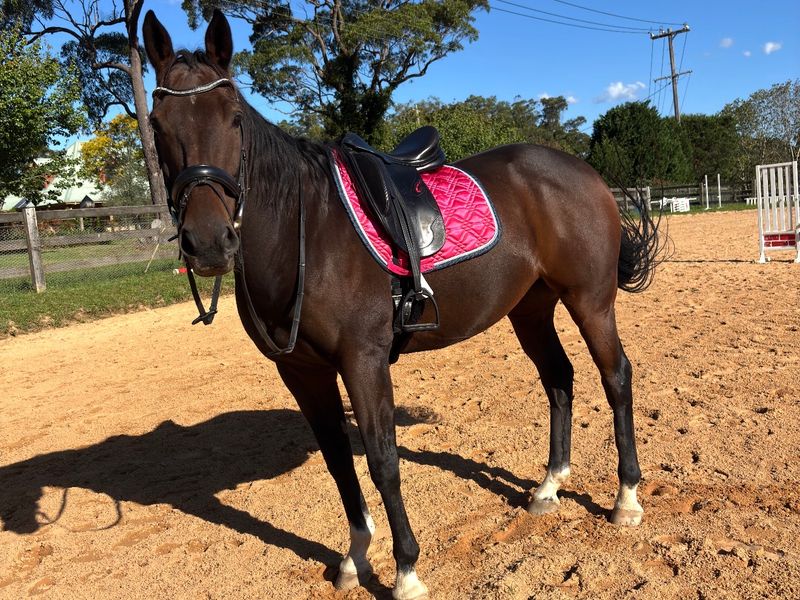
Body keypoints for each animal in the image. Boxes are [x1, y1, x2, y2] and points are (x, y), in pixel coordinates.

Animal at [143, 10, 661, 599]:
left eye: (233, 119)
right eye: (156, 123)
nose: (208, 243)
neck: (306, 230)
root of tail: (584, 171)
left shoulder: (363, 361)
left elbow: (382, 460)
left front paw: (407, 570)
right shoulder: (302, 373)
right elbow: (339, 463)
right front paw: (354, 558)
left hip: (590, 301)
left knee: (616, 377)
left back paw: (626, 498)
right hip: (530, 309)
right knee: (559, 378)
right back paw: (548, 487)